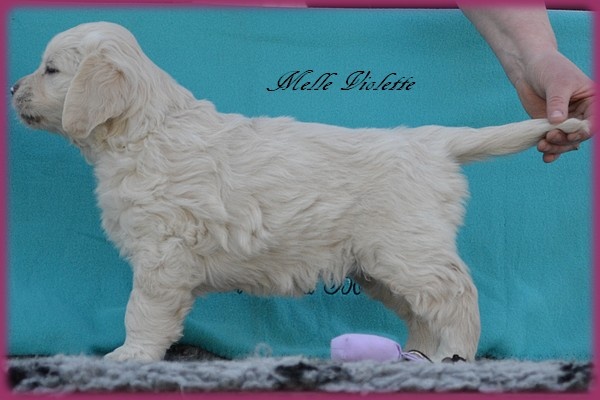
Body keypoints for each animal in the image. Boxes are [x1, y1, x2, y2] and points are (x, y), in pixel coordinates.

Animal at [11, 21, 590, 362]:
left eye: (51, 69)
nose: (13, 88)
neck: (146, 128)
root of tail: (431, 141)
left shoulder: (161, 254)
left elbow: (142, 311)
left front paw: (129, 356)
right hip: (381, 266)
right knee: (423, 310)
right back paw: (419, 359)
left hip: (408, 247)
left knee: (455, 296)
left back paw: (458, 358)